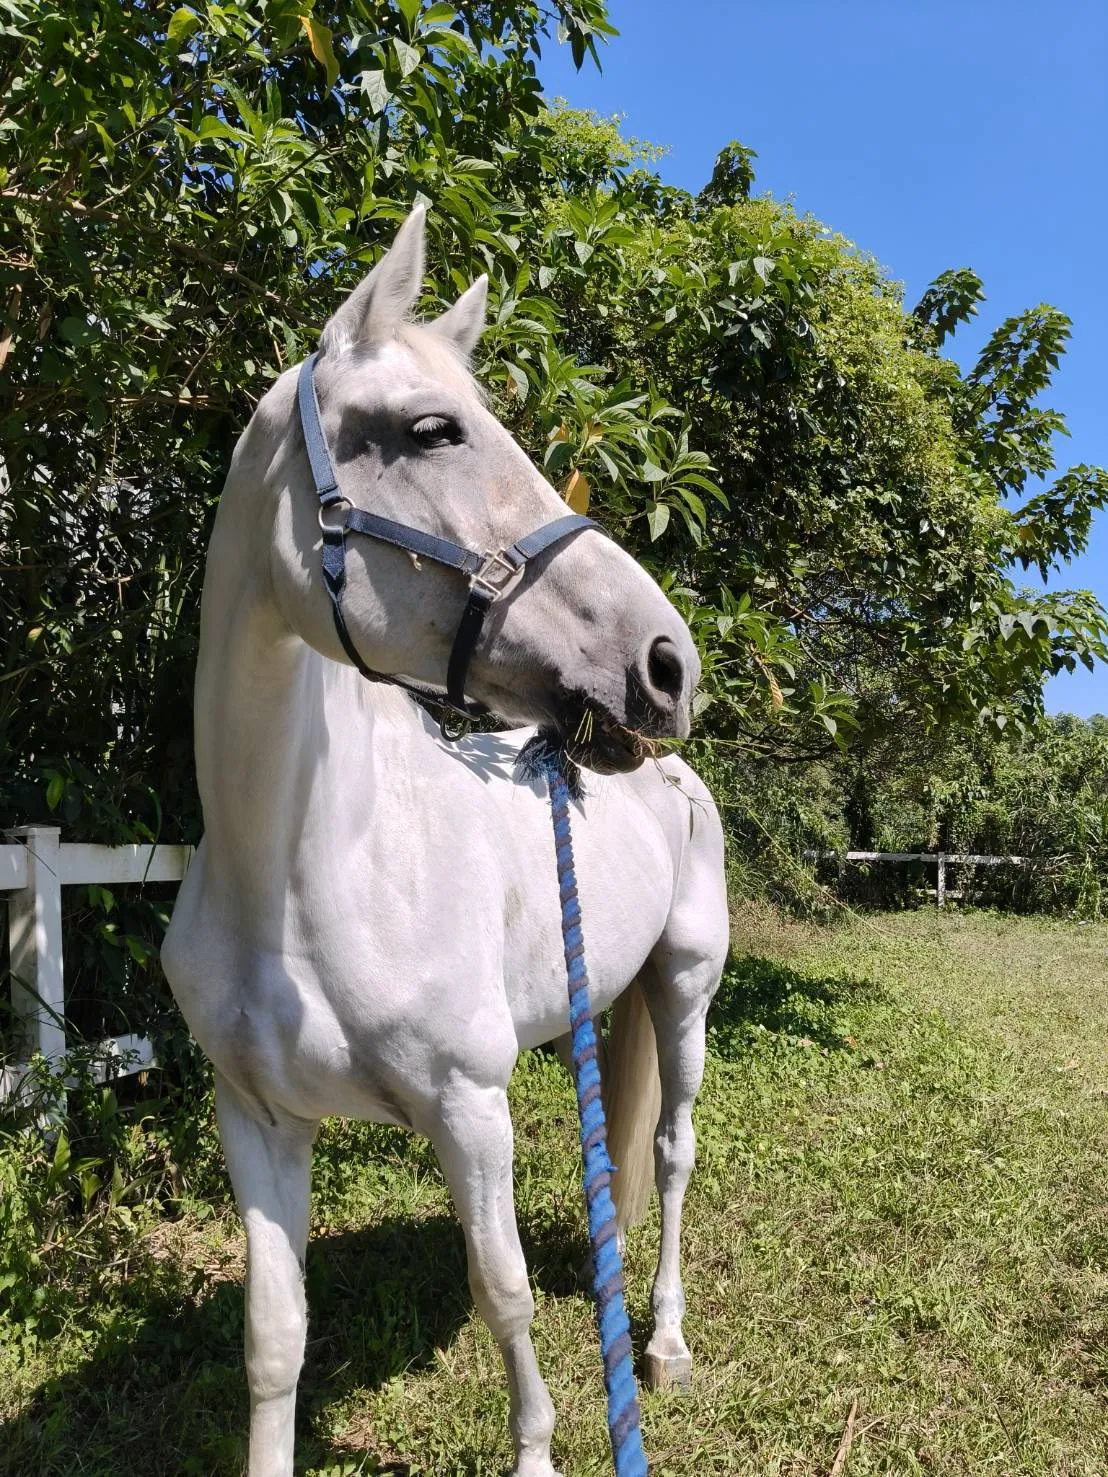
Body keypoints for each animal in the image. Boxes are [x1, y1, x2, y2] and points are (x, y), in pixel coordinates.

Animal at [161, 205, 730, 1477]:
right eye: (431, 430)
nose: (667, 661)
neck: (305, 875)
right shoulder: (255, 1120)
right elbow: (274, 1337)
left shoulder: (470, 1106)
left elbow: (504, 1292)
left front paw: (537, 1451)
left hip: (684, 985)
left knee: (673, 1152)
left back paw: (667, 1344)